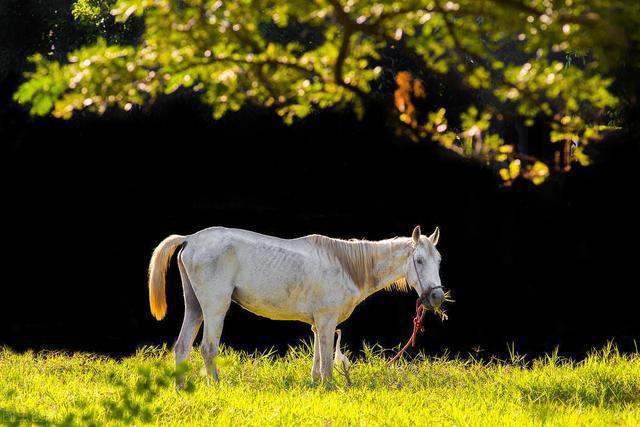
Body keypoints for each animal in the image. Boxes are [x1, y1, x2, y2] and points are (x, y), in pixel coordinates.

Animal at [148, 227, 442, 384]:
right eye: (418, 261)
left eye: (438, 260)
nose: (437, 297)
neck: (346, 266)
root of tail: (190, 238)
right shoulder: (327, 321)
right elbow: (326, 362)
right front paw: (330, 388)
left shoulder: (318, 325)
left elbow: (317, 359)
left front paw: (315, 386)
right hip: (215, 308)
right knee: (208, 349)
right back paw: (216, 387)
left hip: (195, 307)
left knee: (182, 347)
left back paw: (181, 389)